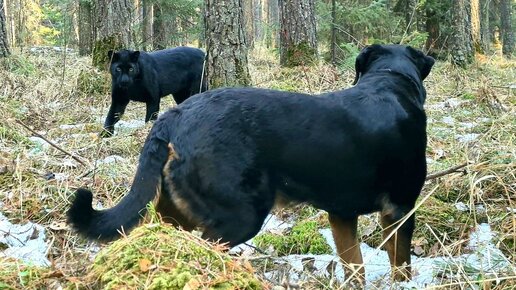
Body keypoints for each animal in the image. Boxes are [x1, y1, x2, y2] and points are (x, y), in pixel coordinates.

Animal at [67, 44, 432, 282]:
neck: (389, 81)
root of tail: (175, 116)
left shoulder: (341, 214)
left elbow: (354, 266)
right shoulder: (400, 208)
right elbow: (401, 265)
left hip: (174, 211)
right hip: (240, 214)